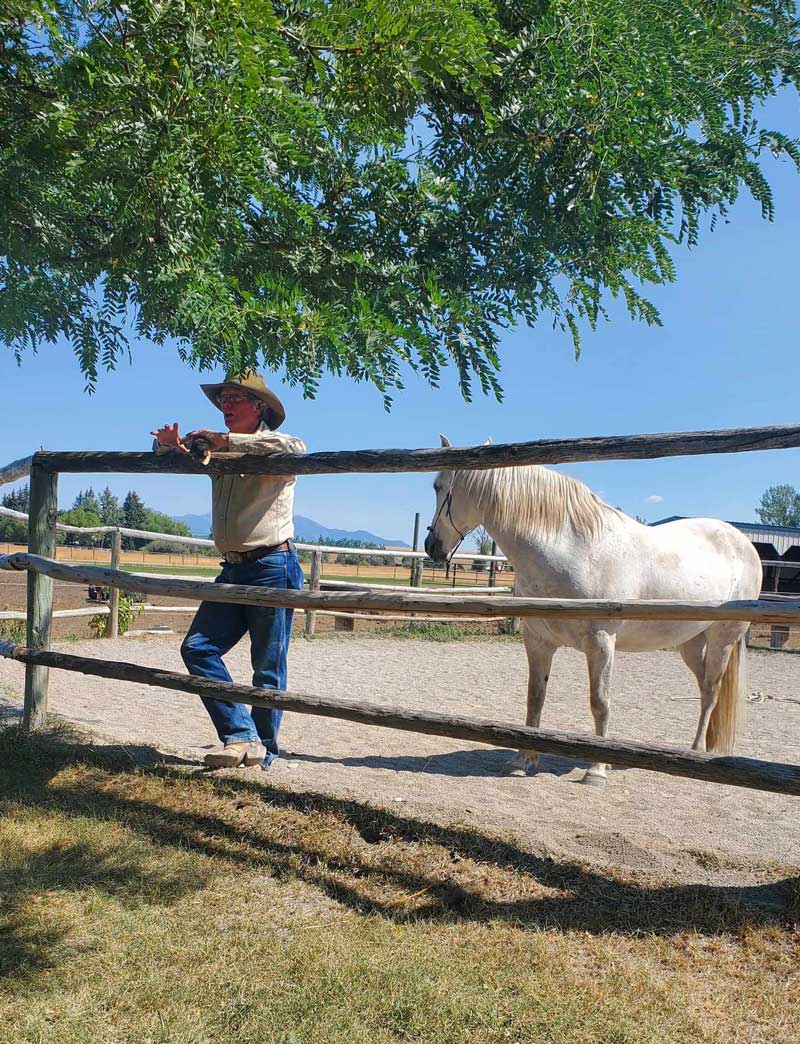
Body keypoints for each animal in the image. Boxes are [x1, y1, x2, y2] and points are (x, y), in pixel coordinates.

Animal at [426, 436, 764, 785]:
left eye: (438, 486)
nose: (431, 546)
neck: (573, 551)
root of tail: (742, 542)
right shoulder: (538, 642)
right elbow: (535, 698)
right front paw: (522, 760)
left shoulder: (601, 643)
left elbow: (599, 702)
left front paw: (597, 769)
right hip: (690, 643)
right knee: (703, 688)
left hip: (723, 638)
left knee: (711, 690)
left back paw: (696, 752)